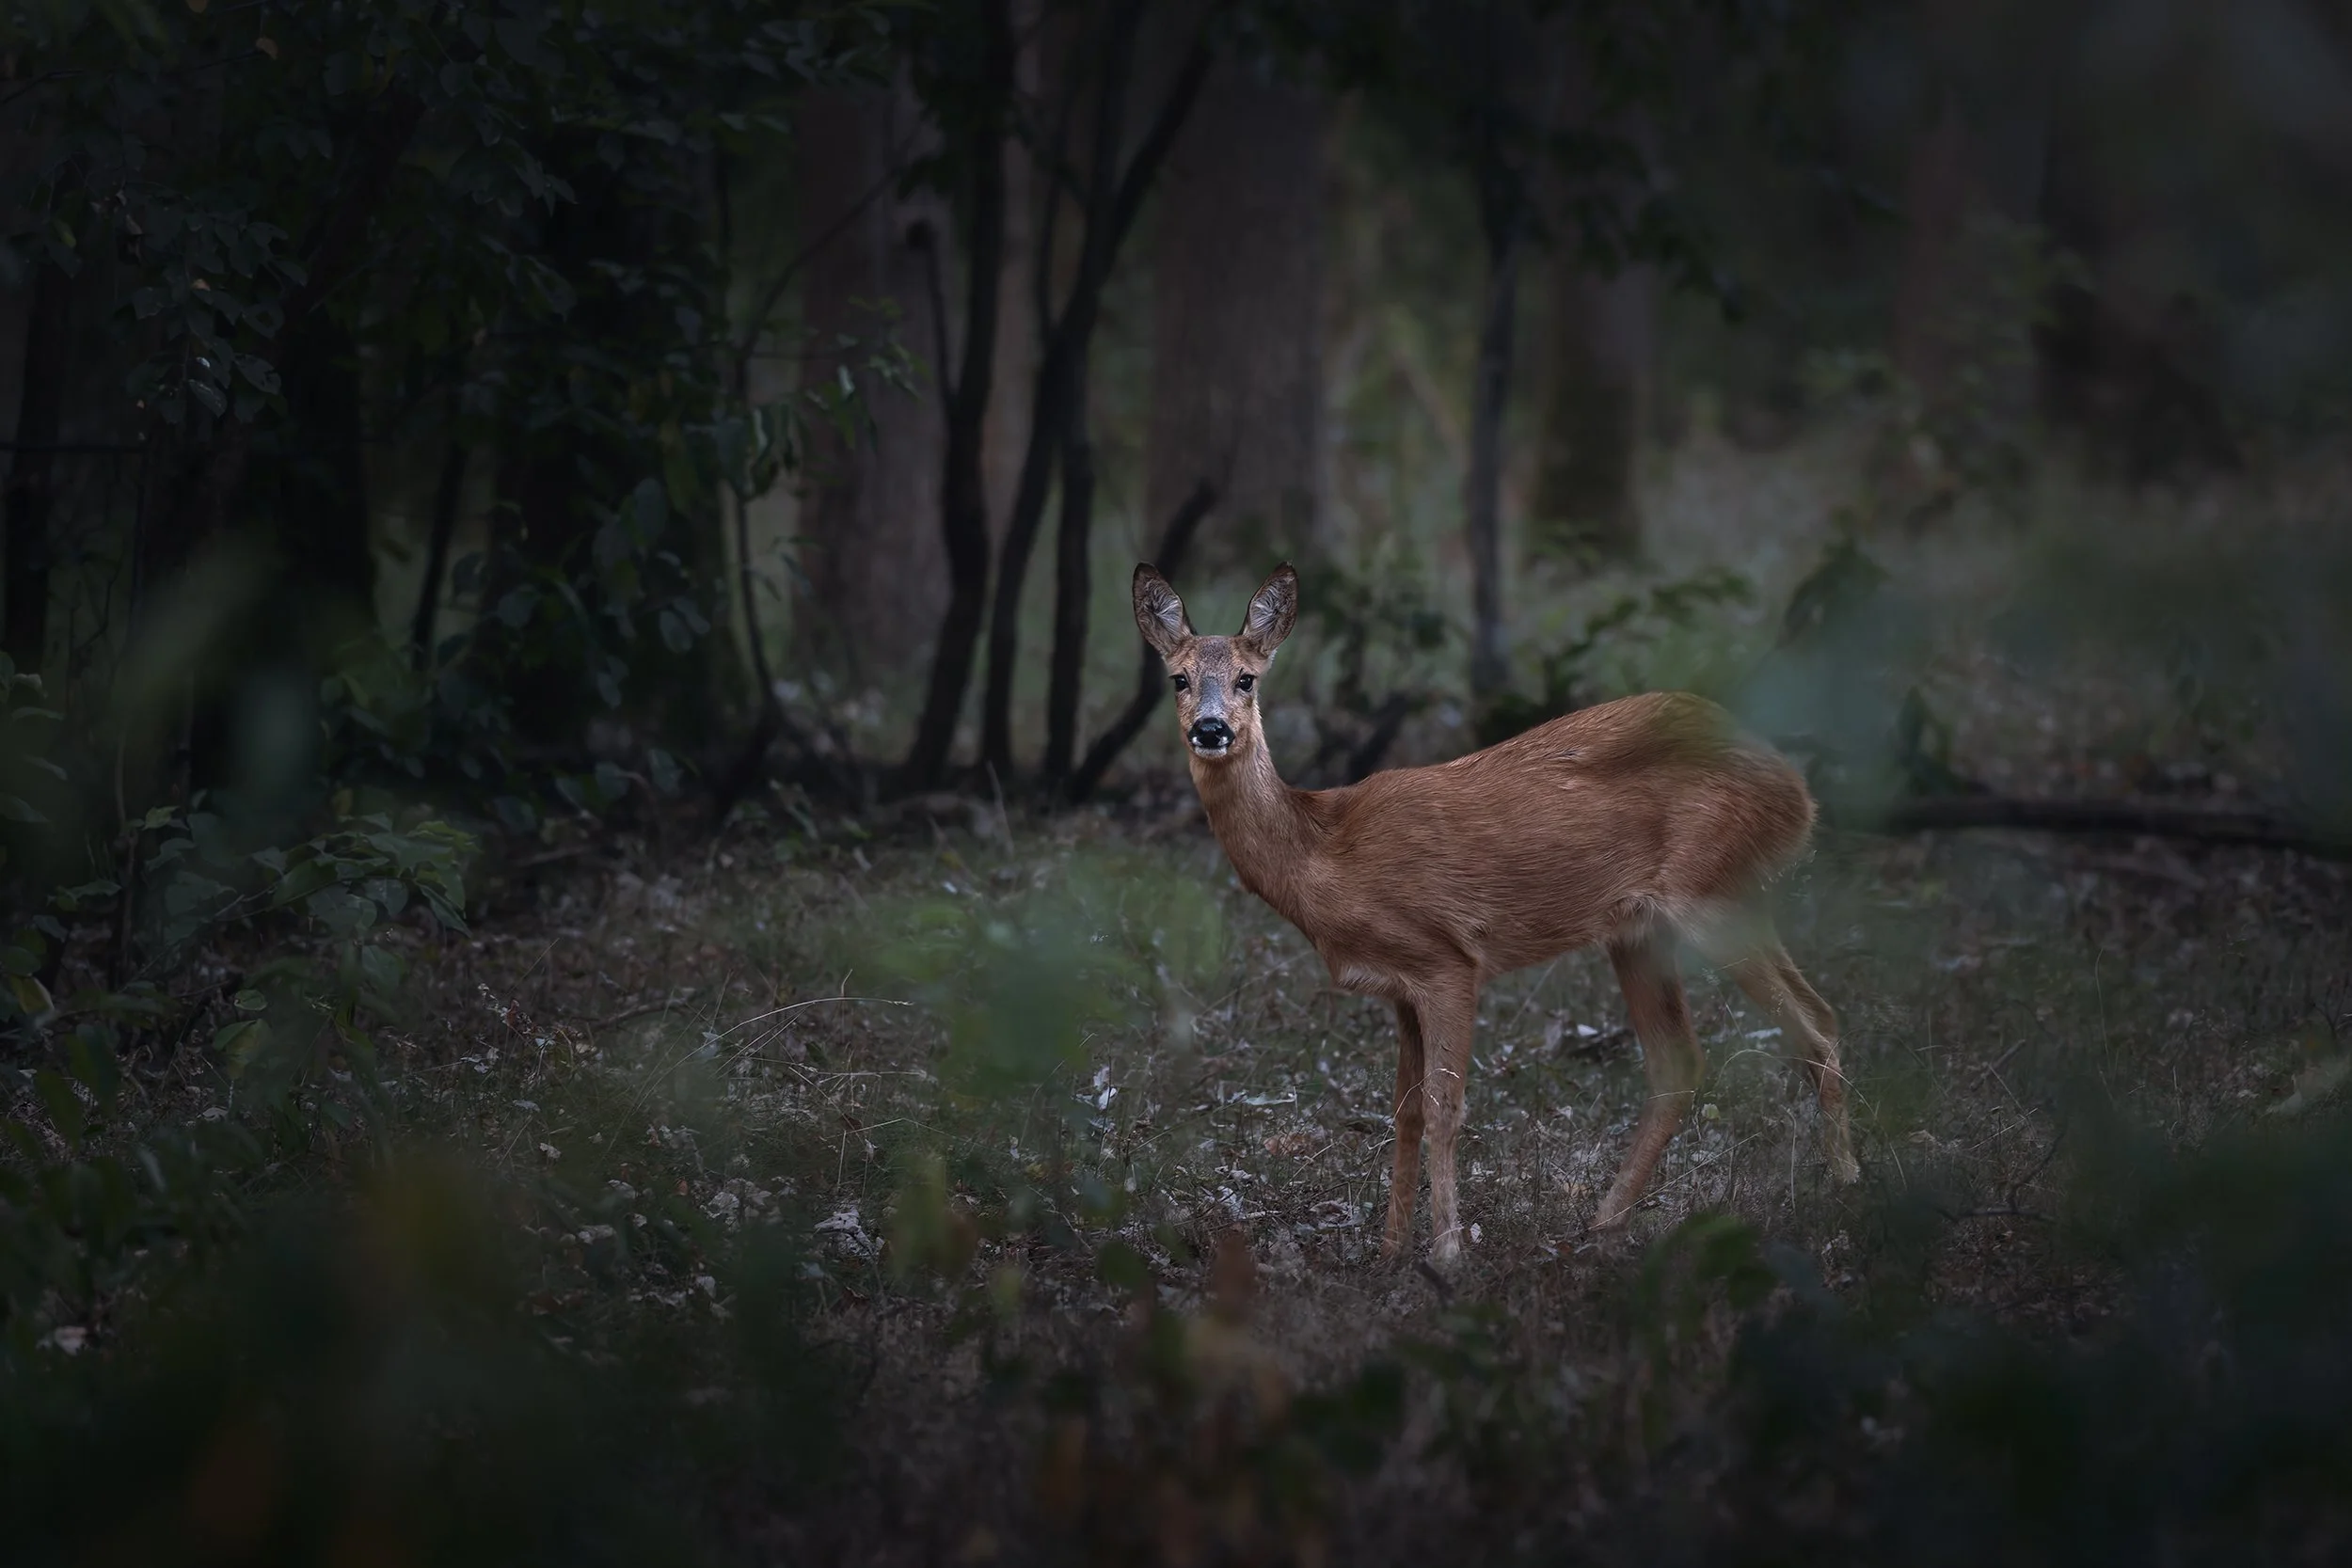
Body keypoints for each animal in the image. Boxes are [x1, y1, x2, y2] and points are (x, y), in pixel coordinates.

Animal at [1132, 561, 1860, 1268]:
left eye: (1247, 678)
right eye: (1178, 679)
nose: (1211, 729)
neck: (1324, 853)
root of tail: (1797, 793)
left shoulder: (1447, 960)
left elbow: (1444, 1107)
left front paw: (1448, 1252)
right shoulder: (1398, 988)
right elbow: (1404, 1112)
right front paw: (1389, 1252)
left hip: (1711, 895)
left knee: (1814, 1022)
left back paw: (1846, 1186)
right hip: (1645, 928)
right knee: (1683, 1060)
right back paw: (1604, 1222)